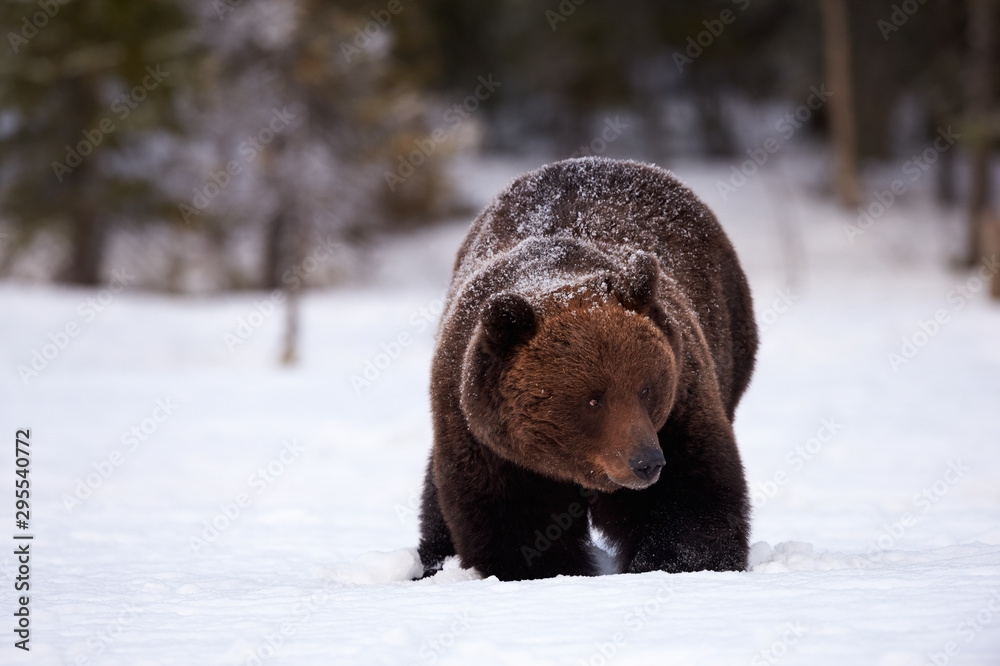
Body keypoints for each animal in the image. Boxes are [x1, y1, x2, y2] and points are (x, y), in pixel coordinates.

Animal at [416, 157, 757, 581]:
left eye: (646, 388)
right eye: (593, 400)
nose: (646, 462)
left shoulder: (680, 405)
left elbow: (691, 503)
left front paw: (676, 564)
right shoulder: (492, 445)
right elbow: (515, 528)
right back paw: (432, 560)